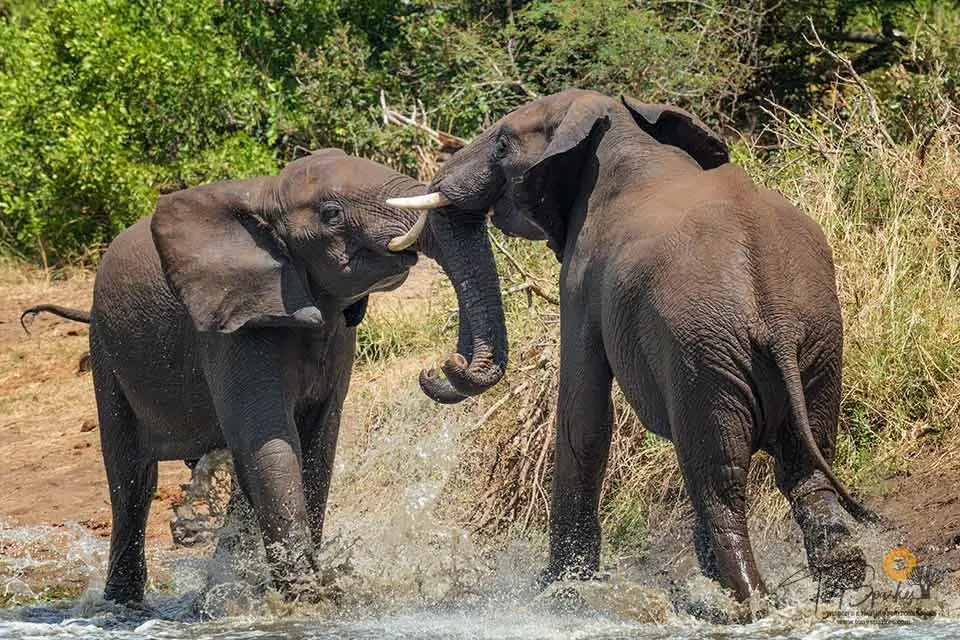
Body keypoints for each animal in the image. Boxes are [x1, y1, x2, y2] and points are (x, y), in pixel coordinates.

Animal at [19, 148, 507, 604]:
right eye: (331, 214)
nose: (441, 368)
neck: (268, 194)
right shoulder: (228, 327)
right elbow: (272, 443)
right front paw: (311, 598)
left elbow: (314, 444)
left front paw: (295, 592)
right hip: (105, 350)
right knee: (133, 482)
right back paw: (123, 605)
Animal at [387, 89, 878, 603]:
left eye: (502, 144)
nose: (439, 367)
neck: (617, 124)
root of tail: (777, 319)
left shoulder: (581, 277)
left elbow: (582, 414)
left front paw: (557, 587)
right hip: (817, 343)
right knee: (806, 468)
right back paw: (837, 583)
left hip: (705, 356)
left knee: (719, 479)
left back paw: (748, 598)